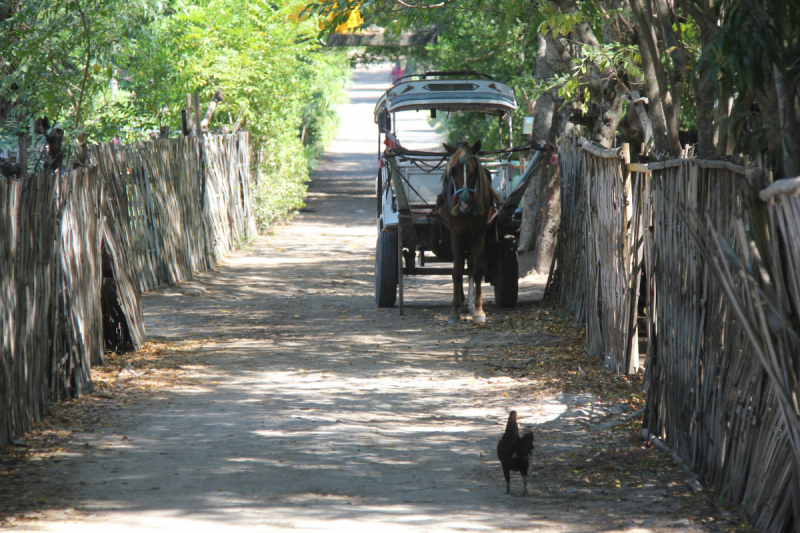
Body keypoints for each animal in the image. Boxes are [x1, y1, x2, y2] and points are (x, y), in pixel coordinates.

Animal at [438, 141, 494, 322]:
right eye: (453, 170)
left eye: (475, 170)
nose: (465, 202)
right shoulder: (455, 234)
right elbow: (456, 271)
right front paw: (454, 310)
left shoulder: (478, 233)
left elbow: (476, 270)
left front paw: (478, 310)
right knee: (462, 265)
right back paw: (462, 303)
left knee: (469, 265)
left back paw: (470, 303)